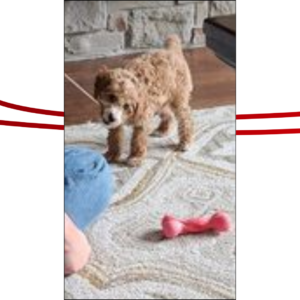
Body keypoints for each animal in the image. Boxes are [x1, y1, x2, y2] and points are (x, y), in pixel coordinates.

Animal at [92, 35, 193, 168]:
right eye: (112, 97)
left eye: (126, 106)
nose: (111, 117)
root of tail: (171, 50)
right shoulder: (118, 121)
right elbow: (114, 137)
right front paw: (112, 154)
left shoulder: (142, 118)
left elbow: (138, 139)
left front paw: (135, 158)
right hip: (160, 102)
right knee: (168, 113)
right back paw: (162, 130)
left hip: (179, 99)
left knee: (186, 119)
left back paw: (185, 141)